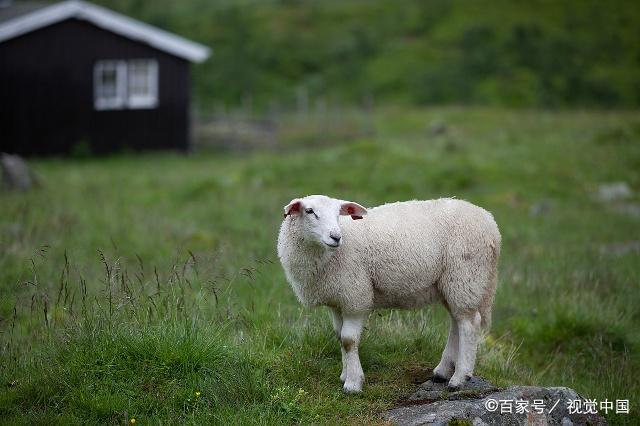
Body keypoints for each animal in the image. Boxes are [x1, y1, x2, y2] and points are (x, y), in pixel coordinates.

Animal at [276, 195, 500, 394]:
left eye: (338, 213)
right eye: (309, 211)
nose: (336, 237)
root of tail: (490, 221)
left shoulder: (355, 296)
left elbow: (348, 340)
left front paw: (353, 384)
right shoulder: (337, 300)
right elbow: (339, 337)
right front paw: (345, 374)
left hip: (465, 275)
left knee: (469, 324)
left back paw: (459, 377)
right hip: (450, 284)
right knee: (457, 321)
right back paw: (443, 371)